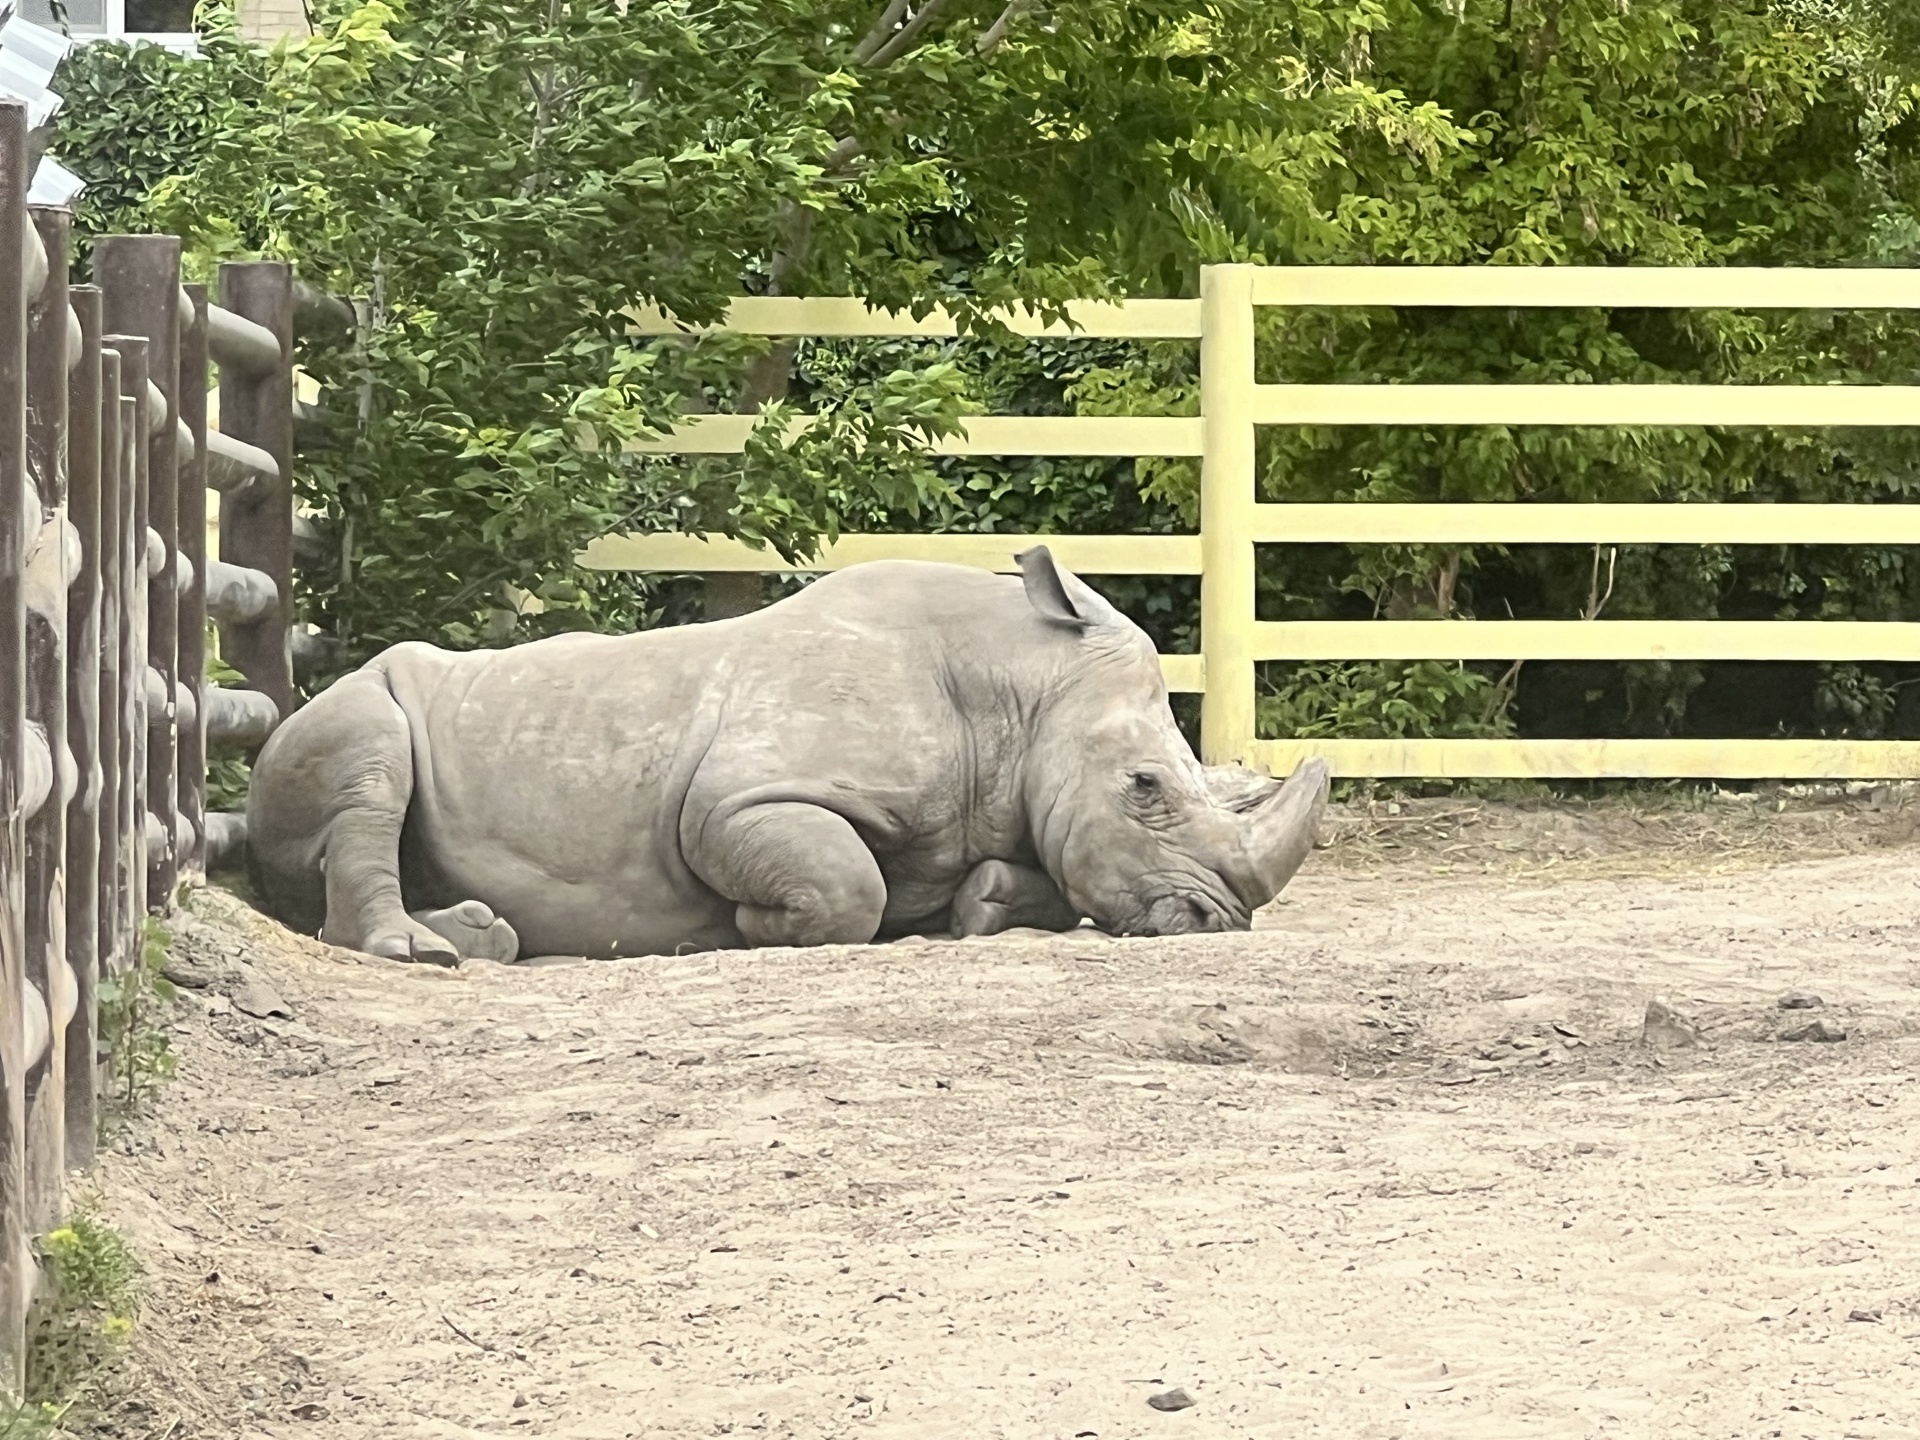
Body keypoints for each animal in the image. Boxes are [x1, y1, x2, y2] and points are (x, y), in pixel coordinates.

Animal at [247, 552, 1328, 971]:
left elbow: (1027, 877)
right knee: (371, 765)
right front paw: (745, 928)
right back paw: (420, 953)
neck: (1021, 694)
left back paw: (481, 939)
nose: (1217, 921)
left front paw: (978, 904)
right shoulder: (738, 801)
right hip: (346, 710)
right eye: (1145, 787)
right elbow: (845, 885)